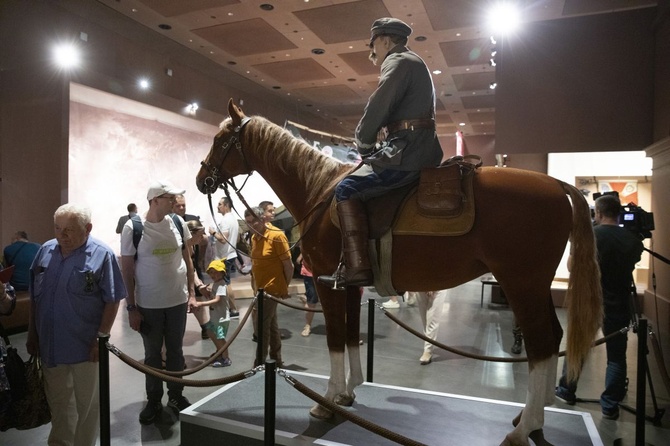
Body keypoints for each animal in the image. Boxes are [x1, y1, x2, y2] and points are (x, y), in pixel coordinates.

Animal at [194, 101, 604, 446]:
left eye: (220, 140)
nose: (202, 180)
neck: (320, 190)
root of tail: (556, 185)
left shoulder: (328, 286)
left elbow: (335, 340)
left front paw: (327, 401)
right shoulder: (351, 287)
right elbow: (350, 336)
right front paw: (347, 392)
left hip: (521, 284)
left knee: (542, 344)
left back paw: (524, 429)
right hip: (534, 287)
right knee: (553, 338)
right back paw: (531, 420)